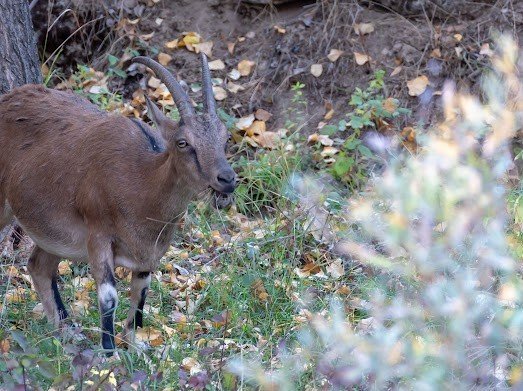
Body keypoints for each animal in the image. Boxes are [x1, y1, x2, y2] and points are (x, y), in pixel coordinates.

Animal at [0, 53, 235, 354]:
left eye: (225, 137)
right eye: (183, 142)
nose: (226, 179)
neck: (140, 183)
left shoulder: (149, 252)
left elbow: (140, 294)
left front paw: (135, 346)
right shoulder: (98, 234)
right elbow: (109, 296)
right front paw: (109, 353)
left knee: (38, 266)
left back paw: (66, 334)